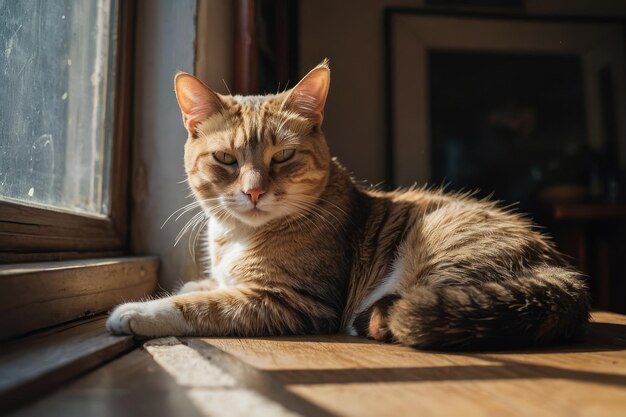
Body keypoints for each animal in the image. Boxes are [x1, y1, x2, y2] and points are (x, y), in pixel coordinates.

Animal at [105, 60, 588, 350]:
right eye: (226, 159)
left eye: (283, 156)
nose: (254, 191)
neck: (238, 236)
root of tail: (562, 273)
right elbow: (204, 286)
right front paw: (191, 283)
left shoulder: (294, 301)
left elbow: (202, 305)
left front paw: (137, 311)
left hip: (438, 254)